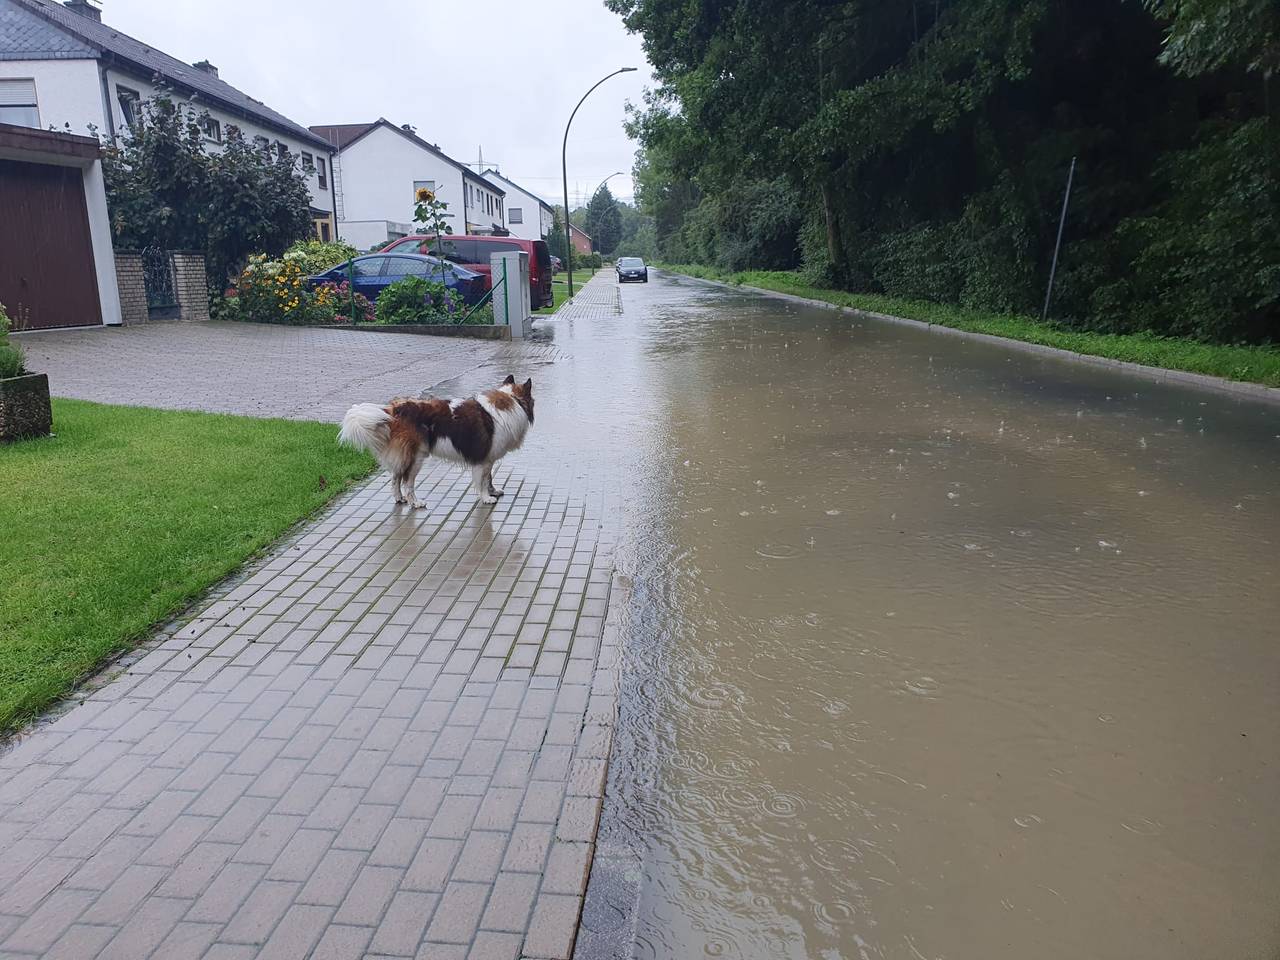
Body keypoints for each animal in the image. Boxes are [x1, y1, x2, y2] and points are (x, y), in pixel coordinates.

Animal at [338, 375, 534, 508]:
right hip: (416, 457)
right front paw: (486, 498)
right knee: (407, 481)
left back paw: (399, 498)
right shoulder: (483, 459)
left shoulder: (488, 458)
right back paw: (415, 502)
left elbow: (489, 477)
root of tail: (394, 410)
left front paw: (493, 491)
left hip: (405, 455)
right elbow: (483, 480)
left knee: (395, 476)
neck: (514, 401)